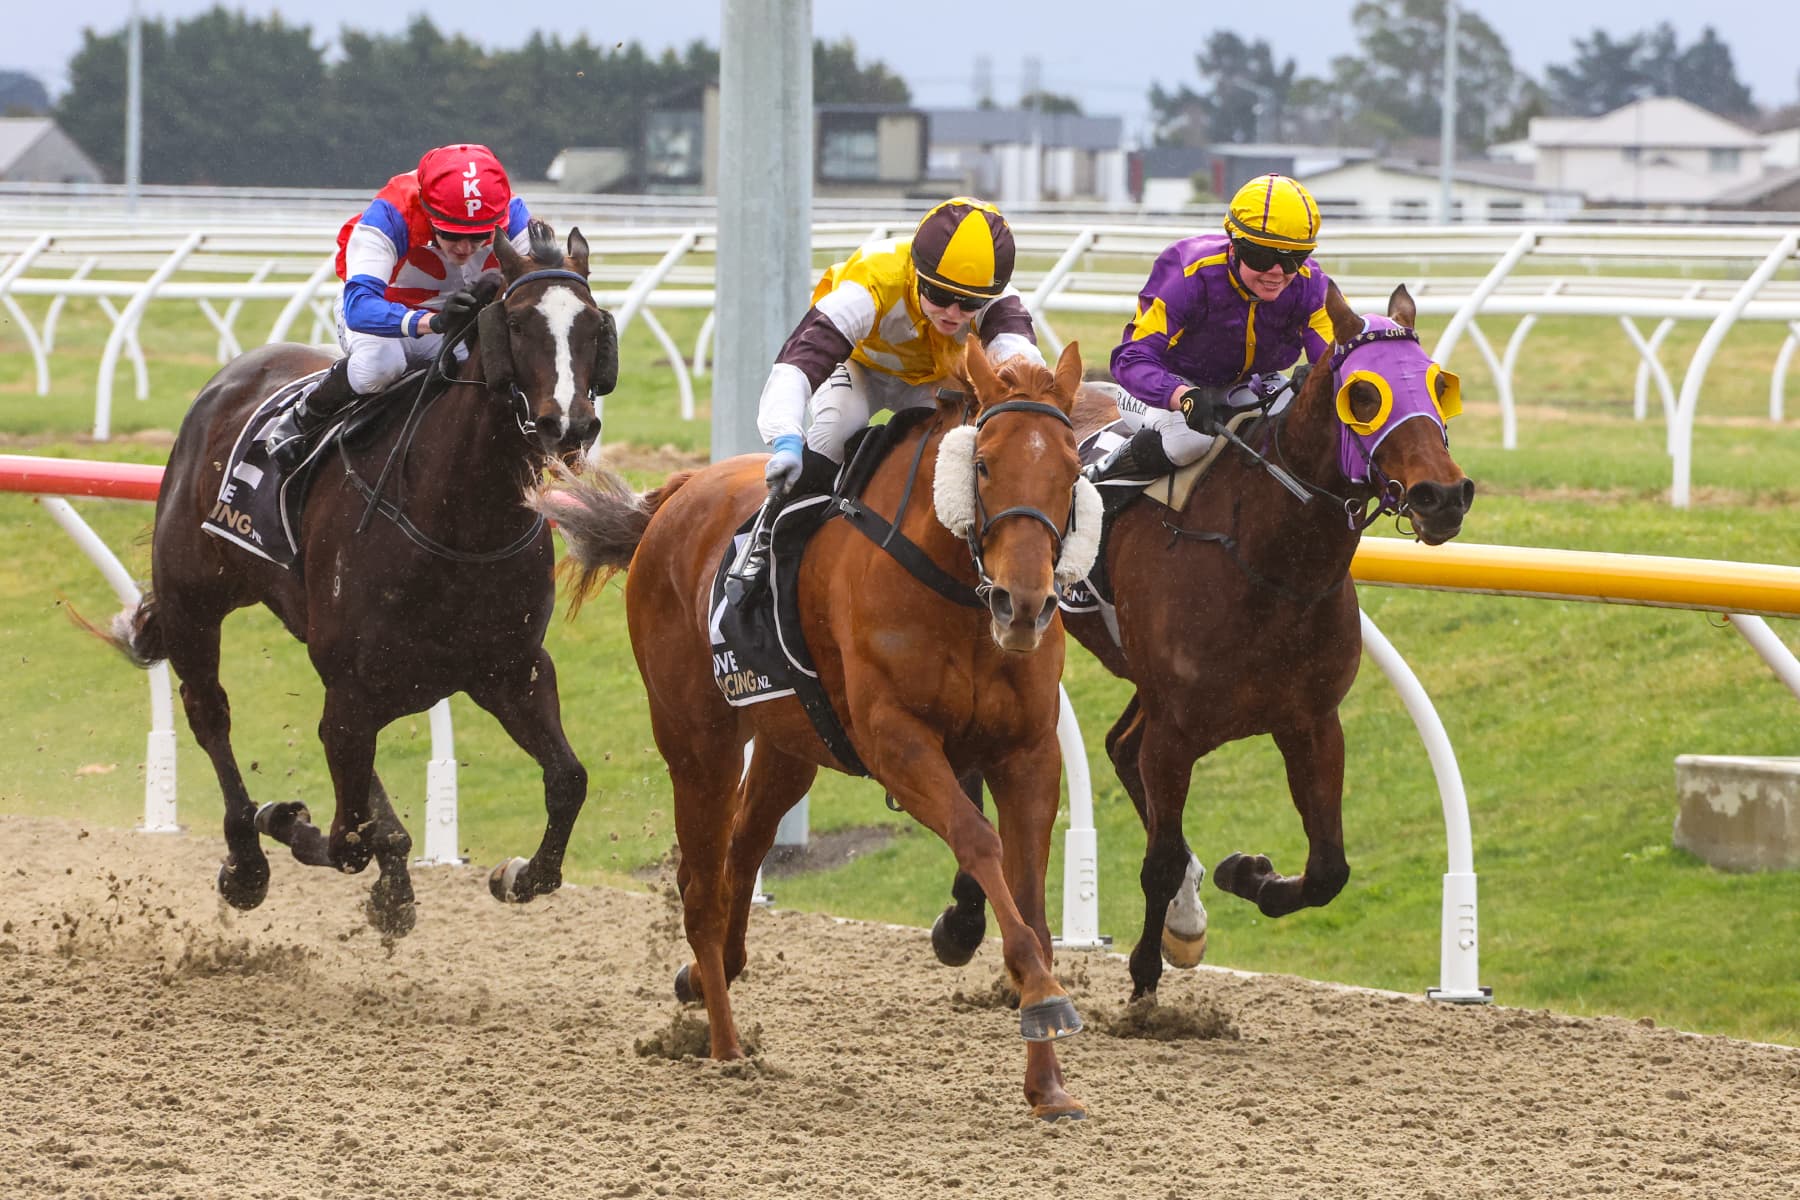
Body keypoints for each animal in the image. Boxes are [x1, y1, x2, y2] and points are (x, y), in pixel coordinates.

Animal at [84, 219, 617, 937]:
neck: (458, 520)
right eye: (517, 322)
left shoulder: (510, 670)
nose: (570, 424)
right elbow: (347, 840)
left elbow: (568, 780)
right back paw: (247, 859)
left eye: (593, 324)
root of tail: (230, 379)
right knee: (209, 714)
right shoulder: (356, 688)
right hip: (194, 600)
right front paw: (283, 817)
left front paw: (517, 875)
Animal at [531, 339, 1101, 1119]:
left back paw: (706, 977)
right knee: (700, 885)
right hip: (698, 741)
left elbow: (1033, 900)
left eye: (1071, 471)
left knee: (742, 851)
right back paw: (725, 1047)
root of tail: (678, 493)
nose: (1025, 604)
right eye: (983, 464)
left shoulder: (1028, 752)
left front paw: (1047, 1081)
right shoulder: (896, 742)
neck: (954, 588)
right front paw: (1043, 995)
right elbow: (979, 842)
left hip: (786, 743)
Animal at [930, 283, 1475, 1000]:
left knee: (1119, 747)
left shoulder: (1310, 720)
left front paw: (1246, 875)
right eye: (1364, 394)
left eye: (1441, 386)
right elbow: (1158, 859)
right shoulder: (1177, 730)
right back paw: (966, 916)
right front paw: (1144, 981)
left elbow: (1328, 869)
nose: (1444, 495)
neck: (1267, 561)